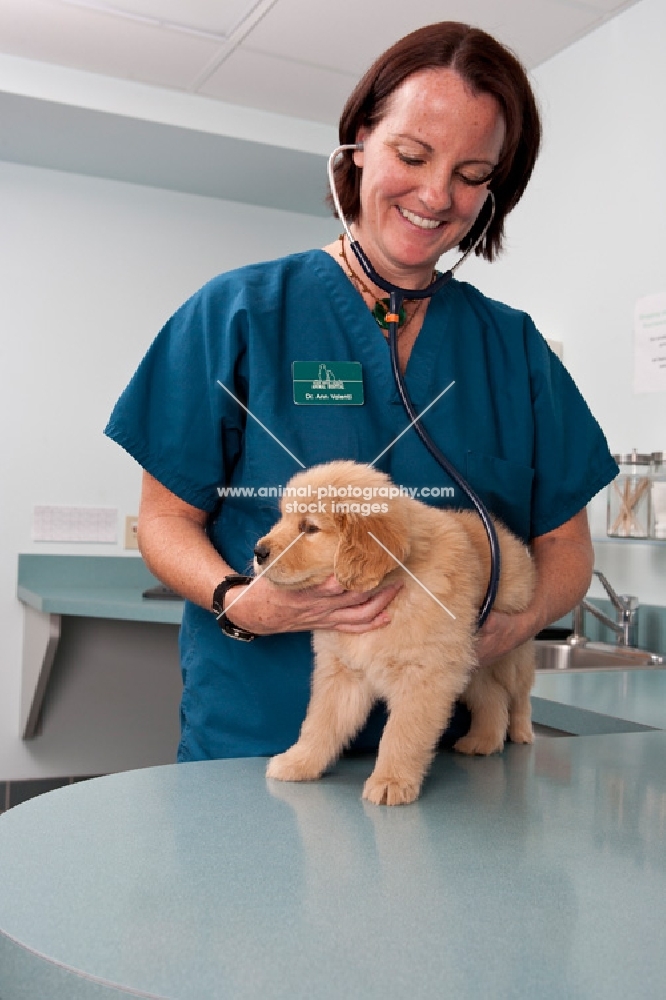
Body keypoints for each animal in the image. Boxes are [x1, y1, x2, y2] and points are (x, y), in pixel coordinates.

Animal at [255, 460, 536, 804]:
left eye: (309, 528)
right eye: (283, 518)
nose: (258, 551)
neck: (391, 589)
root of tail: (510, 540)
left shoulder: (424, 675)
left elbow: (401, 733)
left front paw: (391, 780)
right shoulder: (342, 672)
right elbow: (320, 722)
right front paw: (299, 762)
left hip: (511, 649)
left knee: (519, 693)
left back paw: (521, 731)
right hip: (471, 663)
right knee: (493, 696)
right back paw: (483, 740)